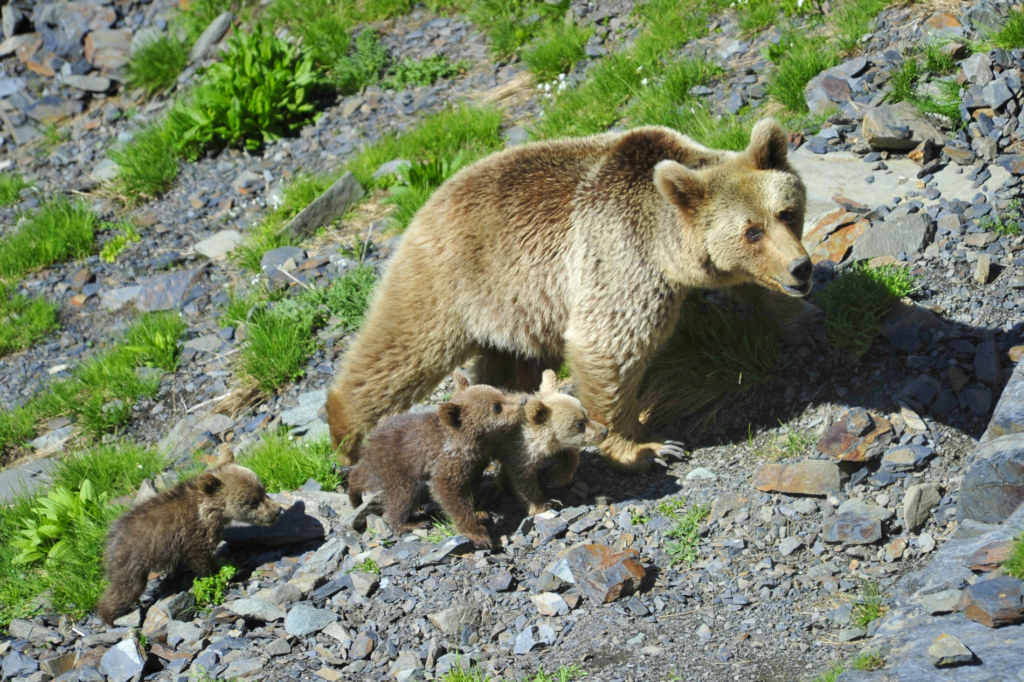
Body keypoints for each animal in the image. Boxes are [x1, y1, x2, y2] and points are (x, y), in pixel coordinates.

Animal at [97, 448, 281, 624]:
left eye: (263, 490)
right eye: (253, 501)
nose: (277, 510)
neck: (210, 511)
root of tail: (110, 538)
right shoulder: (196, 534)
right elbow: (202, 560)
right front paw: (220, 574)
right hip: (132, 562)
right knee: (125, 590)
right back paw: (109, 617)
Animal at [327, 118, 816, 472]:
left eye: (786, 212)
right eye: (751, 231)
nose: (801, 268)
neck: (668, 247)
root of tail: (428, 201)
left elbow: (760, 292)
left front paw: (804, 325)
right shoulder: (620, 257)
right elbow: (609, 346)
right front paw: (646, 448)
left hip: (517, 309)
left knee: (509, 364)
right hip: (449, 281)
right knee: (400, 350)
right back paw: (346, 434)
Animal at [346, 372, 525, 548]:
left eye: (501, 392)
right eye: (497, 406)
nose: (523, 400)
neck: (472, 443)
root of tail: (370, 442)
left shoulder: (475, 464)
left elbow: (470, 486)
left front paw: (479, 512)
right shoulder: (447, 463)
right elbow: (447, 492)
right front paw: (479, 534)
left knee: (362, 475)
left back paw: (354, 495)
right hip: (398, 466)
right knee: (403, 495)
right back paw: (408, 523)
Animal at [490, 369, 608, 516]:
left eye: (587, 414)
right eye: (580, 424)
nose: (604, 431)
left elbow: (569, 456)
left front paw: (554, 477)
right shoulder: (518, 451)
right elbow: (523, 480)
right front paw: (542, 505)